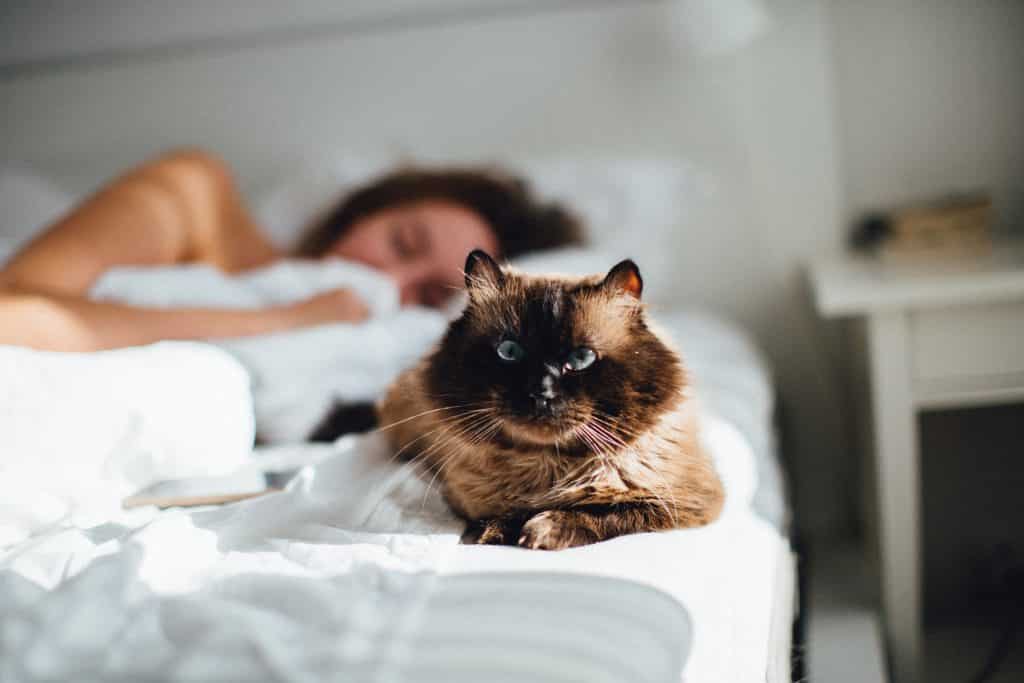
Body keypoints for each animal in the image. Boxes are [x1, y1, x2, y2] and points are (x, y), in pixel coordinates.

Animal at [372, 250, 724, 548]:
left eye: (581, 358)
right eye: (509, 352)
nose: (541, 392)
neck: (548, 466)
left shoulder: (678, 503)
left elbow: (602, 513)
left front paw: (541, 531)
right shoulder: (467, 496)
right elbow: (502, 513)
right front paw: (495, 532)